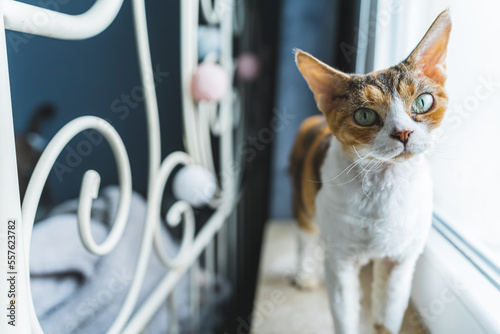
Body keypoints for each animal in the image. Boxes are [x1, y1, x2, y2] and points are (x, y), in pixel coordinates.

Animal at [292, 9, 452, 334]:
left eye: (422, 101)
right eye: (364, 115)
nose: (403, 132)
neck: (386, 186)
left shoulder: (400, 262)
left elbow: (389, 315)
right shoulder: (341, 261)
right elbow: (344, 313)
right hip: (304, 195)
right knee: (304, 233)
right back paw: (304, 273)